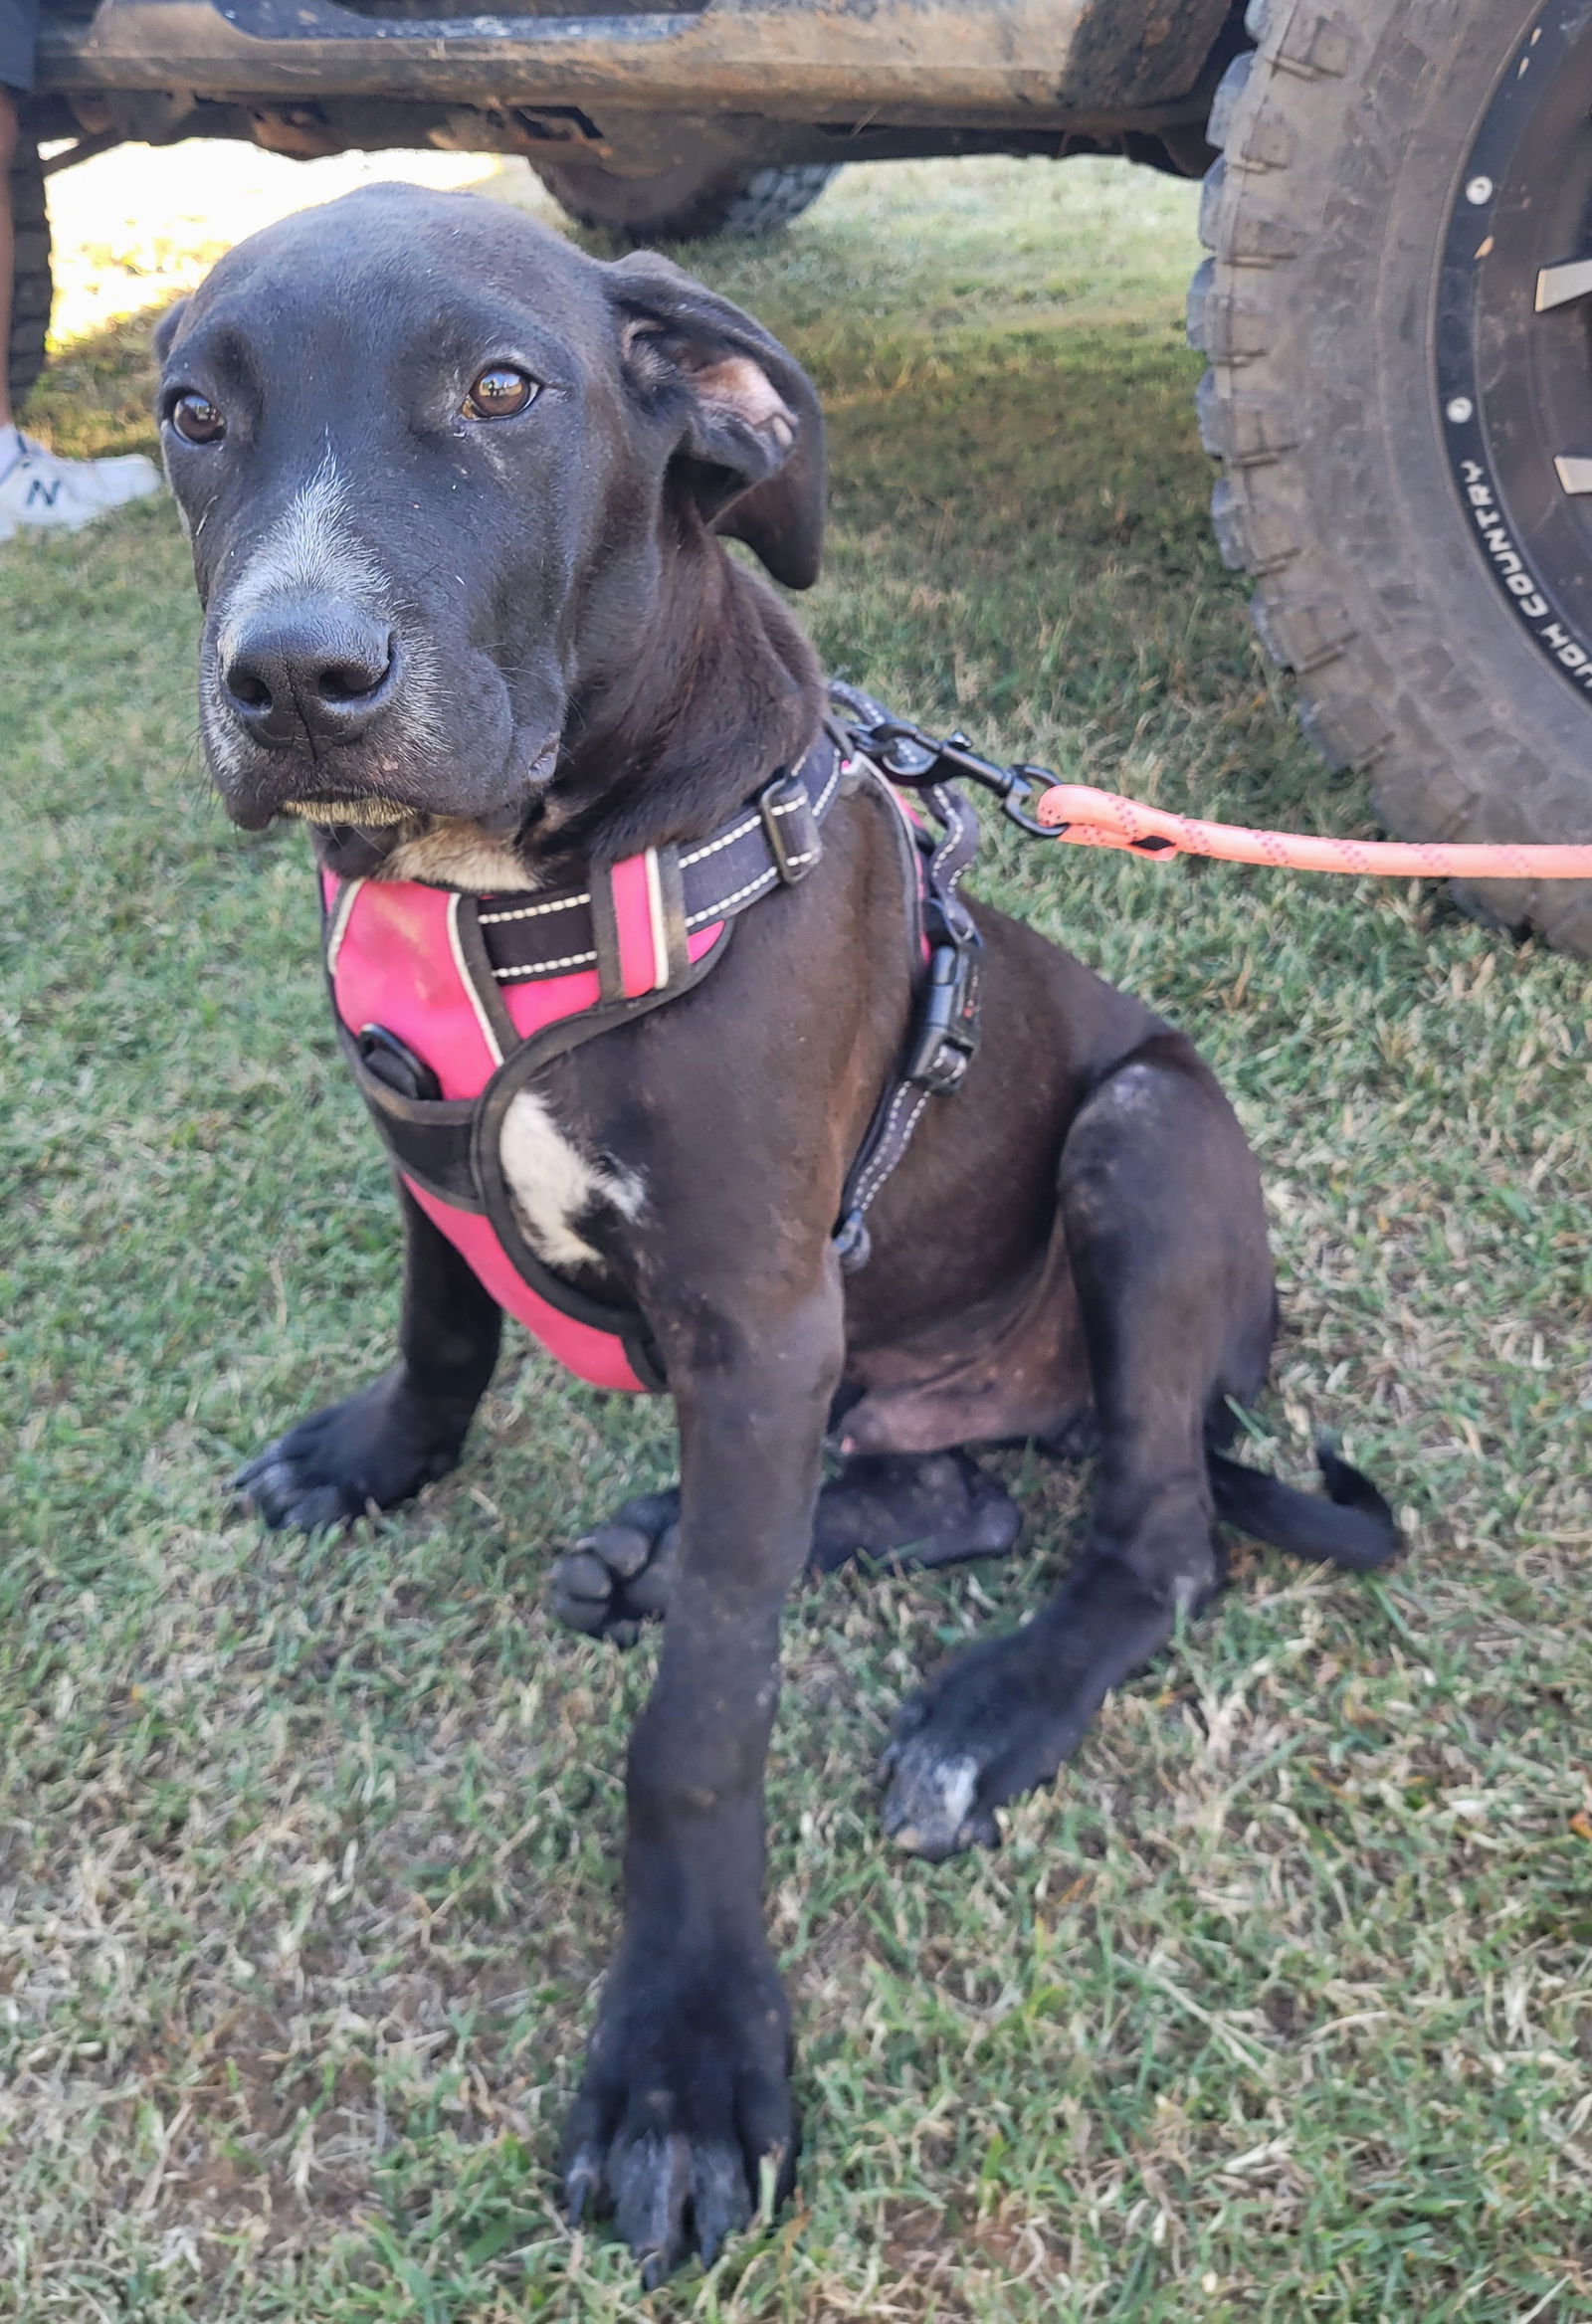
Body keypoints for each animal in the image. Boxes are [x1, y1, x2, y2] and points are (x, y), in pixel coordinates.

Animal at [155, 185, 1394, 2286]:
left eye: (504, 391)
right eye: (190, 415)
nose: (297, 680)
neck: (525, 880)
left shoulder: (756, 1323)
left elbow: (703, 1723)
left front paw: (683, 2063)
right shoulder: (422, 1149)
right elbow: (443, 1329)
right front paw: (375, 1457)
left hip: (1141, 1147)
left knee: (1153, 1540)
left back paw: (987, 1705)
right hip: (893, 1361)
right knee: (947, 1493)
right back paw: (686, 1542)